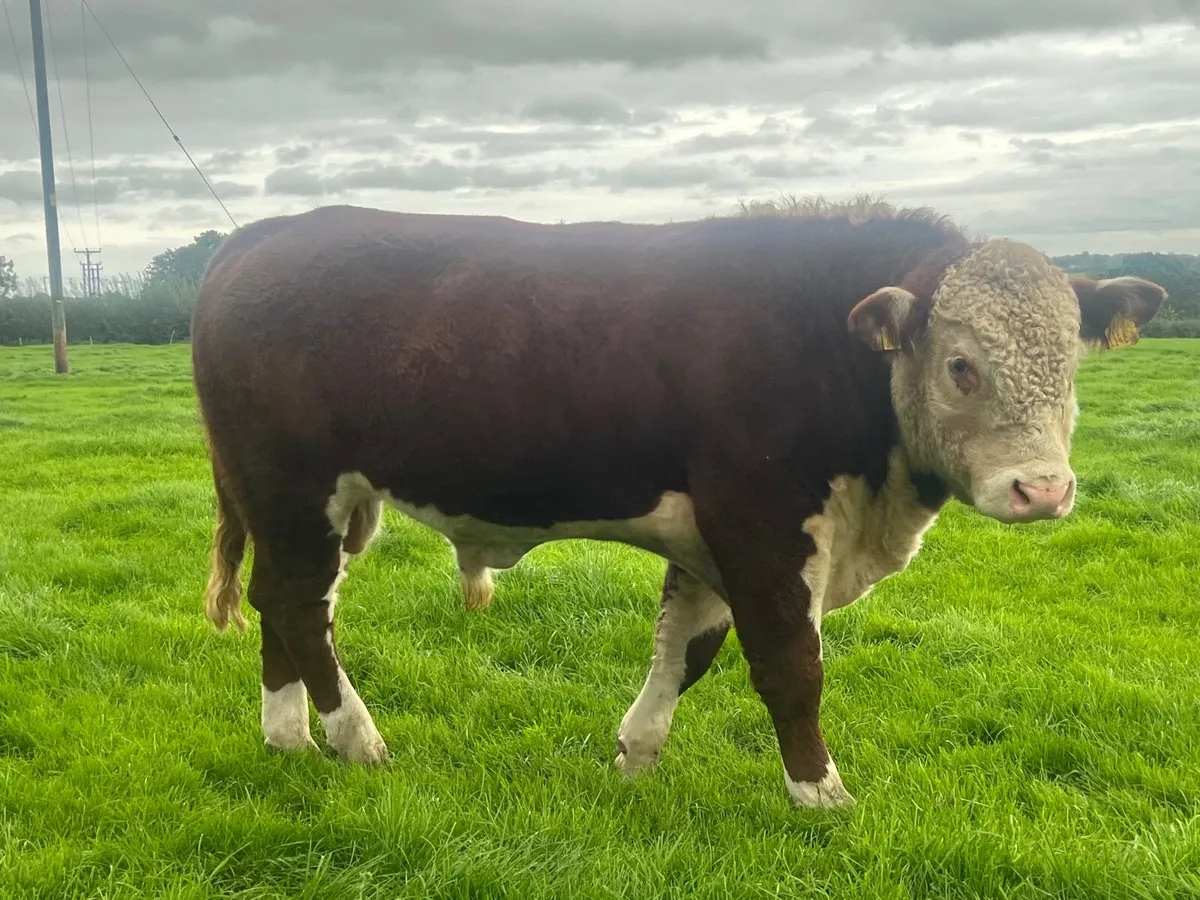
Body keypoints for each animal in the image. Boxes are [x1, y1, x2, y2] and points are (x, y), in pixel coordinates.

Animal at [191, 198, 1165, 809]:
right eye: (962, 365)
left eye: (1072, 365)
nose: (1042, 490)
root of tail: (263, 236)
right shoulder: (763, 524)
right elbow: (791, 666)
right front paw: (820, 794)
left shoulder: (709, 540)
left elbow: (687, 654)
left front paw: (636, 756)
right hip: (293, 486)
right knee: (299, 608)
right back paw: (357, 741)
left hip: (298, 503)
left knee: (286, 605)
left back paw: (288, 738)